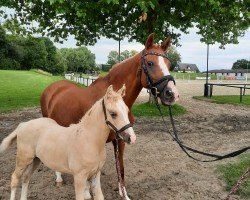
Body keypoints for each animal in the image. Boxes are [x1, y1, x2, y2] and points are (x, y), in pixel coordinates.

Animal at [0, 85, 136, 200]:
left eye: (127, 110)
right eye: (113, 113)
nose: (132, 138)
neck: (89, 140)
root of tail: (22, 124)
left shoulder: (95, 175)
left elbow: (99, 196)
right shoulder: (79, 177)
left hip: (35, 160)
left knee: (26, 178)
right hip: (23, 159)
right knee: (15, 179)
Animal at [40, 33, 180, 199]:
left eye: (169, 64)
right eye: (150, 63)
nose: (172, 94)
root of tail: (52, 88)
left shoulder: (121, 140)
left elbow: (121, 167)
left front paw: (123, 194)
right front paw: (87, 191)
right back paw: (59, 178)